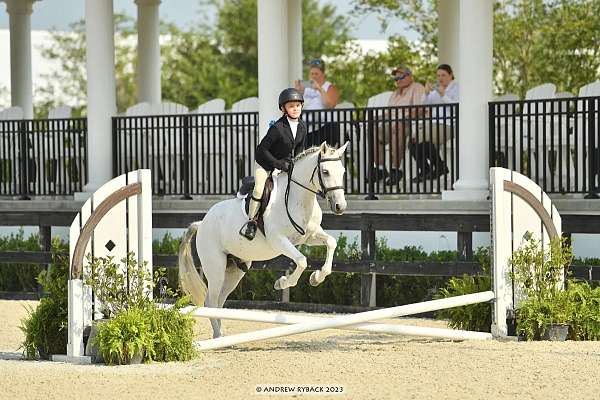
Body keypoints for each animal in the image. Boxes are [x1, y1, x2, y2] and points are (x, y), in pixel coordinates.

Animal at [176, 142, 350, 336]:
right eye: (325, 172)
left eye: (343, 171)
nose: (340, 206)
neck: (299, 198)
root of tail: (202, 223)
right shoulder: (279, 240)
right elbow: (301, 261)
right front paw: (281, 283)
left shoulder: (309, 237)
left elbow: (331, 242)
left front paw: (316, 278)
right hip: (216, 268)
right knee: (210, 301)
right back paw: (219, 336)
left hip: (235, 270)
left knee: (219, 301)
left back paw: (219, 335)